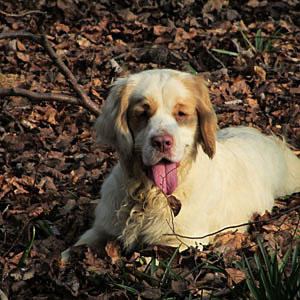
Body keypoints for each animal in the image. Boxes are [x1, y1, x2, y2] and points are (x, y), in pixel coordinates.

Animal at [61, 69, 300, 262]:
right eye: (143, 114)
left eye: (181, 113)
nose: (162, 142)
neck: (147, 195)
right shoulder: (102, 229)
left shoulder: (183, 242)